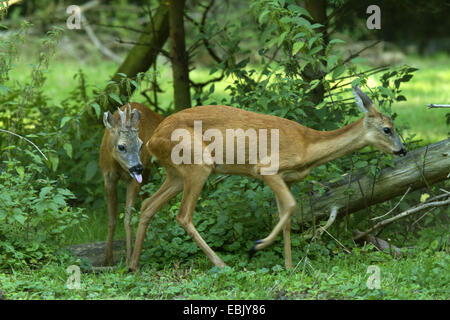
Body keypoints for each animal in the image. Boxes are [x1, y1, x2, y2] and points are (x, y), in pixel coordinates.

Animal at [100, 102, 163, 264]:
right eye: (122, 146)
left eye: (141, 145)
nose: (137, 167)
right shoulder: (108, 178)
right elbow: (112, 220)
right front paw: (107, 259)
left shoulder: (133, 180)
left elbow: (127, 219)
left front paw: (129, 258)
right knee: (145, 197)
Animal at [128, 85, 406, 270]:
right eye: (387, 129)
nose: (402, 150)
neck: (308, 147)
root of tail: (151, 140)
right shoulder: (266, 168)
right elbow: (291, 207)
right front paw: (257, 247)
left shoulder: (287, 179)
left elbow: (287, 215)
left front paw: (289, 266)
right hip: (199, 165)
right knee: (183, 215)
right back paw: (222, 263)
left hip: (176, 174)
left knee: (147, 205)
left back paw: (133, 264)